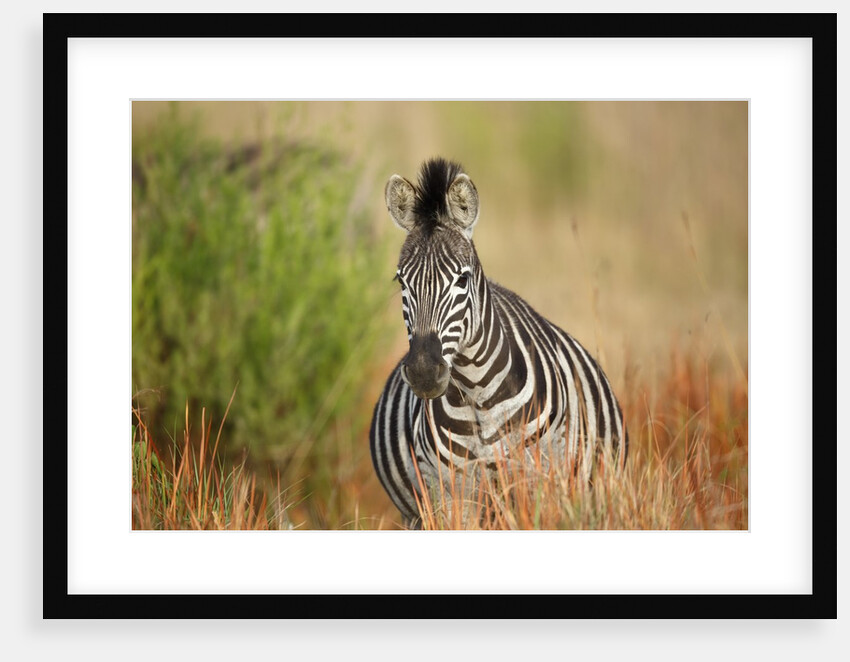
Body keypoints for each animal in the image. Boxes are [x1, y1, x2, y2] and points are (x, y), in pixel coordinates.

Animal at [369, 157, 627, 528]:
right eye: (401, 281)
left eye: (462, 280)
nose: (423, 372)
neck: (477, 395)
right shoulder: (449, 492)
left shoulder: (534, 480)